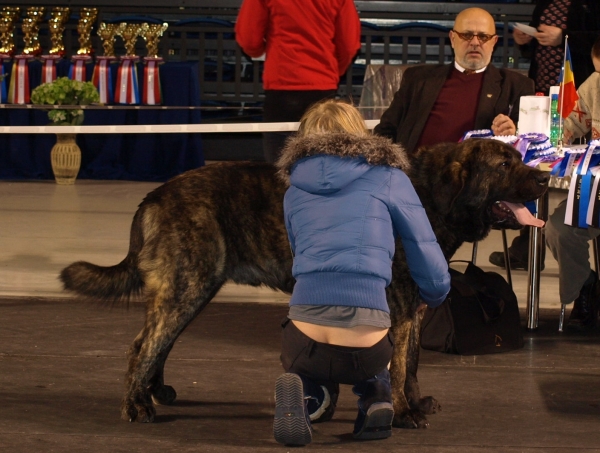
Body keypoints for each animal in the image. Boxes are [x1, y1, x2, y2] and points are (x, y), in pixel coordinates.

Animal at [59, 138, 548, 428]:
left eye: (520, 158)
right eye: (504, 164)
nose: (545, 177)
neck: (431, 195)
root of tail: (155, 194)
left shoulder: (415, 306)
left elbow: (411, 364)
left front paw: (415, 402)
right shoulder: (400, 306)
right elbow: (398, 364)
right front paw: (403, 412)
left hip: (193, 288)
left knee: (160, 342)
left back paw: (155, 393)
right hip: (187, 285)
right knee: (144, 344)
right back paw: (135, 406)